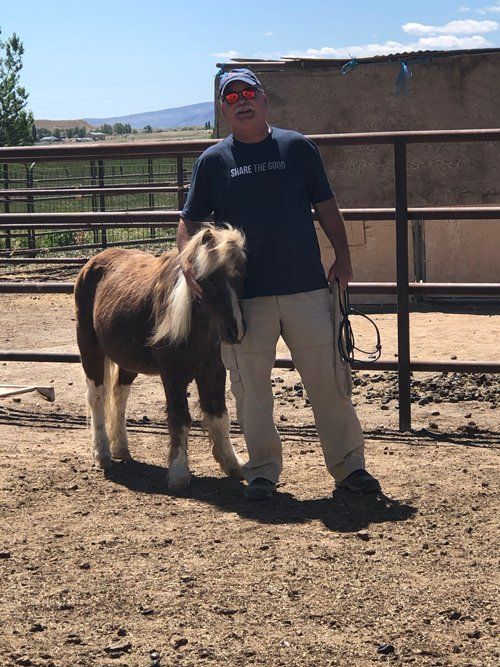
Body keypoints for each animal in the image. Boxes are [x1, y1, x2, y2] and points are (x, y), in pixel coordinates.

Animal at [74, 224, 246, 489]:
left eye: (240, 275)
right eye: (209, 278)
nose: (235, 330)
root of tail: (92, 262)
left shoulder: (214, 371)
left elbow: (220, 416)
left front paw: (232, 463)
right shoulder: (173, 375)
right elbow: (180, 418)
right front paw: (178, 473)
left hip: (127, 360)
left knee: (119, 394)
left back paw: (121, 448)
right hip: (90, 349)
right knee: (97, 397)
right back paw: (102, 454)